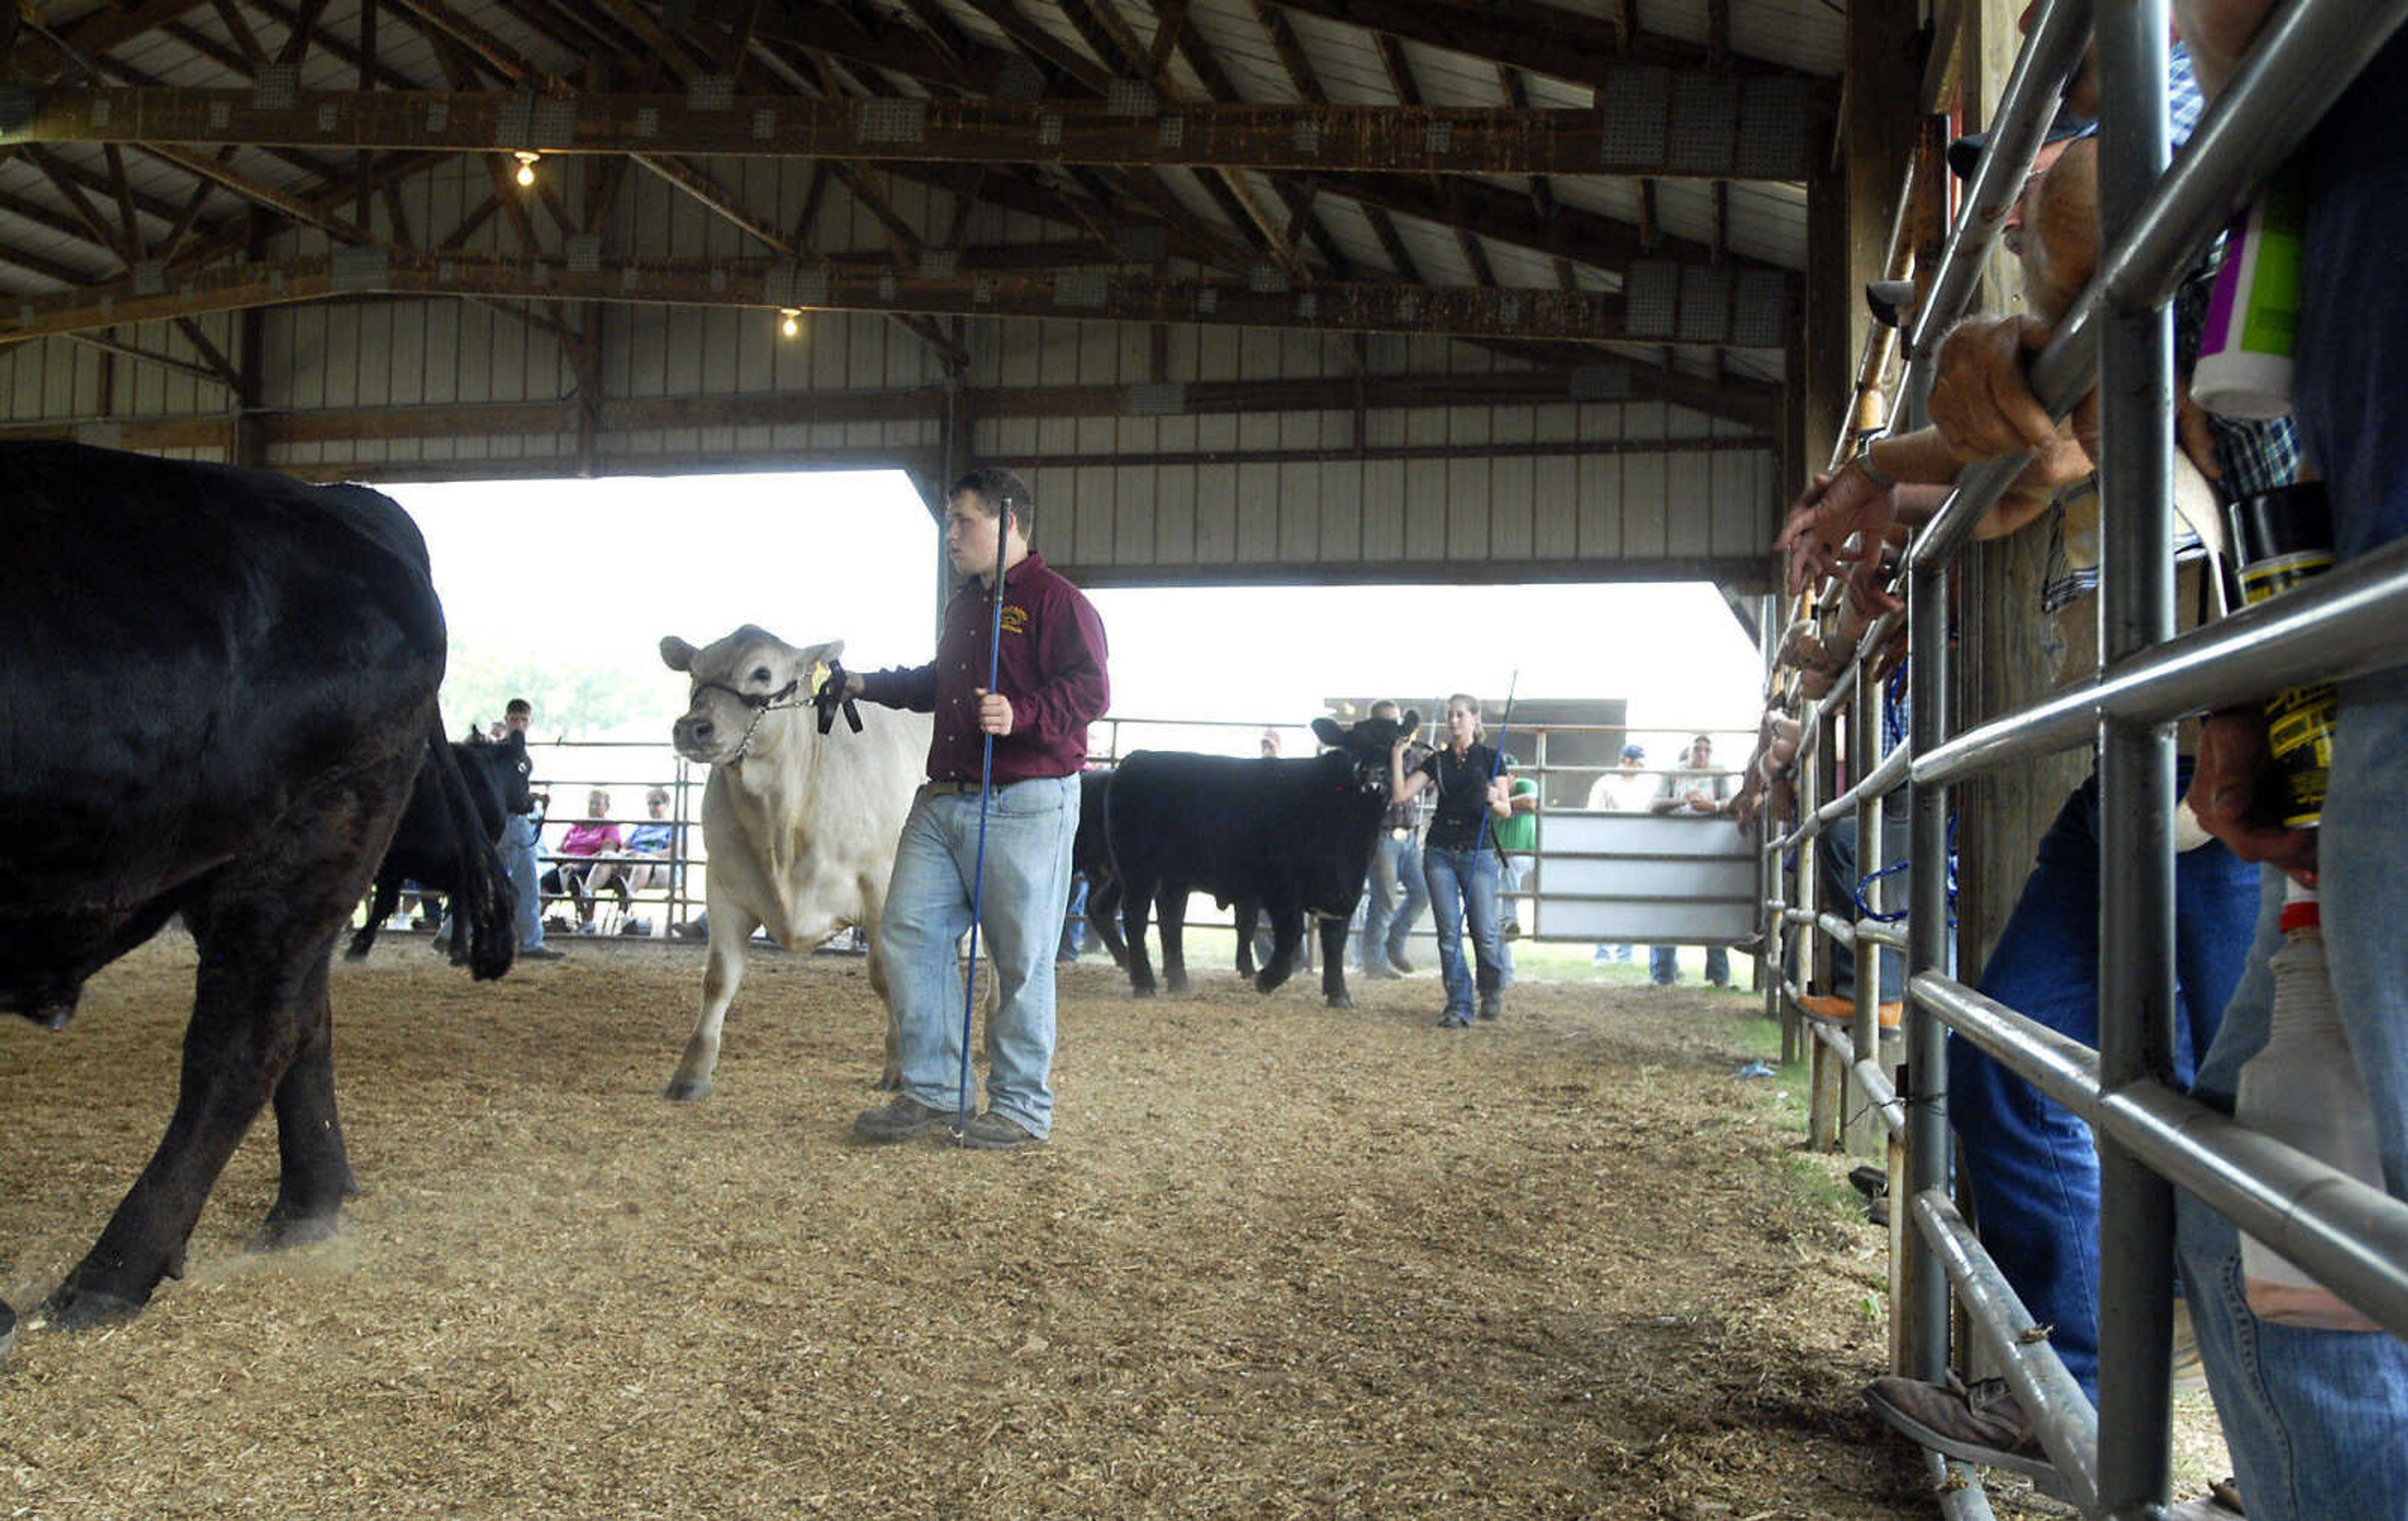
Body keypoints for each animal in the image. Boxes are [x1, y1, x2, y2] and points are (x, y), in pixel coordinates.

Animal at [0, 440, 508, 1338]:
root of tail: (354, 501)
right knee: (305, 1018)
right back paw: (307, 1208)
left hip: (300, 843)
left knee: (242, 1043)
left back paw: (110, 1273)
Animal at [1102, 712, 1415, 1011]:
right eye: (1354, 742)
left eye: (1396, 742)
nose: (1373, 773)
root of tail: (1137, 759)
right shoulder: (1281, 885)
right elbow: (1291, 934)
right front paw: (1267, 979)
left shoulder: (1343, 892)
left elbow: (1335, 943)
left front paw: (1339, 995)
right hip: (1137, 869)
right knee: (1135, 918)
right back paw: (1144, 983)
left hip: (1175, 877)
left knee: (1171, 920)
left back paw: (1179, 981)